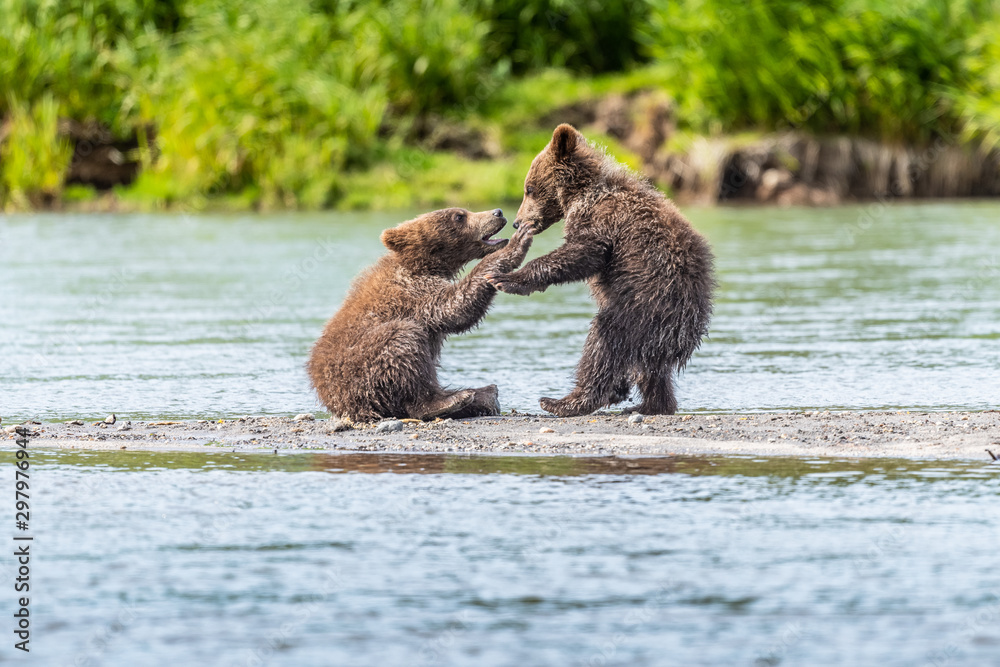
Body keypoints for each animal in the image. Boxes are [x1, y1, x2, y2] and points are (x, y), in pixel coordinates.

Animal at [308, 207, 533, 423]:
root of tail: (336, 404)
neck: (426, 265)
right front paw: (517, 242)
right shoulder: (411, 291)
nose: (498, 212)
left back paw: (483, 394)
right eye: (459, 216)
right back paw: (455, 399)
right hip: (360, 369)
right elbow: (453, 307)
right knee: (404, 342)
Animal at [486, 124, 714, 416]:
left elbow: (582, 253)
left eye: (529, 188)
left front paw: (504, 279)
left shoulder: (605, 222)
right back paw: (646, 403)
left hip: (645, 307)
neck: (580, 195)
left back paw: (565, 401)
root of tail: (689, 334)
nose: (517, 222)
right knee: (651, 370)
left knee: (604, 342)